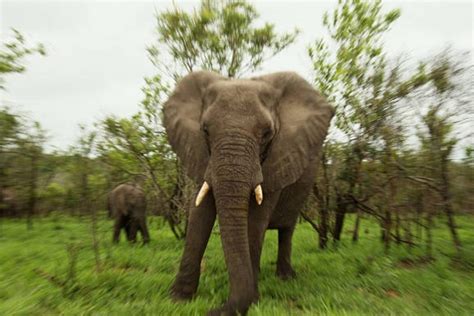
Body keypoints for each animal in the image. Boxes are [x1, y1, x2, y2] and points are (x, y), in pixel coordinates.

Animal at [164, 70, 334, 314]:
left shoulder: (279, 158)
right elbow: (199, 215)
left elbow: (255, 220)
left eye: (267, 133)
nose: (211, 310)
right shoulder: (202, 155)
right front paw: (178, 299)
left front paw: (253, 301)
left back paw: (285, 278)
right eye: (205, 130)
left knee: (287, 230)